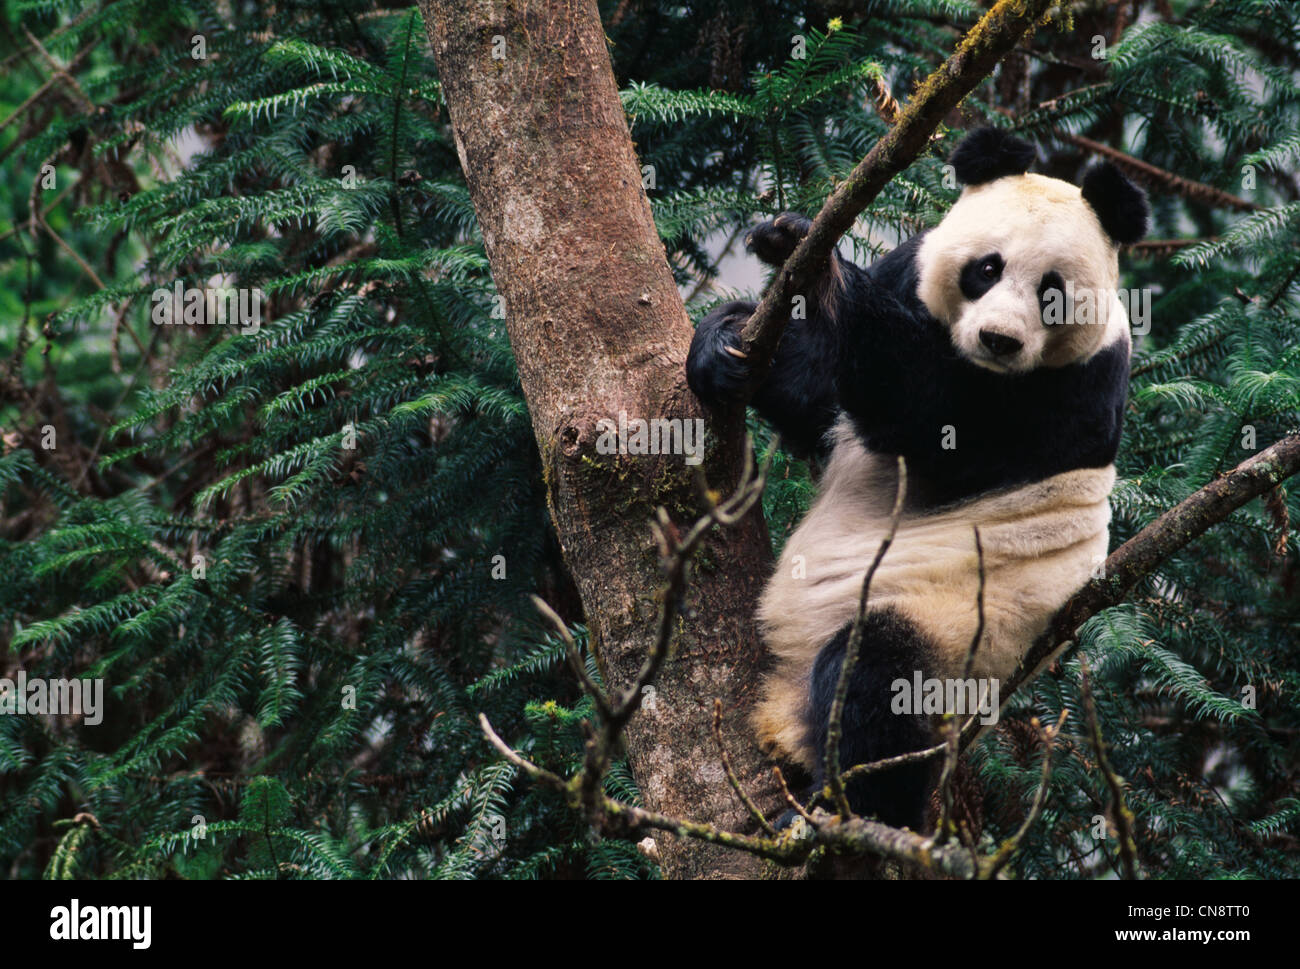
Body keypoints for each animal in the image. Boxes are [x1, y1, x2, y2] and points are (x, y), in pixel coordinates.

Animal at [686, 127, 1148, 830]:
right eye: (987, 268)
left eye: (1052, 293)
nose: (1000, 340)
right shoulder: (907, 277)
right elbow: (820, 402)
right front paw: (725, 342)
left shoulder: (1074, 390)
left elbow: (930, 420)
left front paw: (817, 266)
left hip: (958, 636)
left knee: (881, 680)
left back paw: (851, 811)